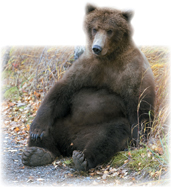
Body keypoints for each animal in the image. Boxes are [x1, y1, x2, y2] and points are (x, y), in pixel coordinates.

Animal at [22, 4, 156, 171]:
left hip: (97, 128)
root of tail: (71, 143)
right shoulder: (87, 67)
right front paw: (36, 130)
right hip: (63, 122)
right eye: (94, 28)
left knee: (109, 135)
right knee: (51, 128)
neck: (109, 57)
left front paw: (140, 141)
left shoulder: (132, 72)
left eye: (110, 30)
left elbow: (140, 106)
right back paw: (37, 152)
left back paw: (83, 157)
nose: (97, 47)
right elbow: (61, 92)